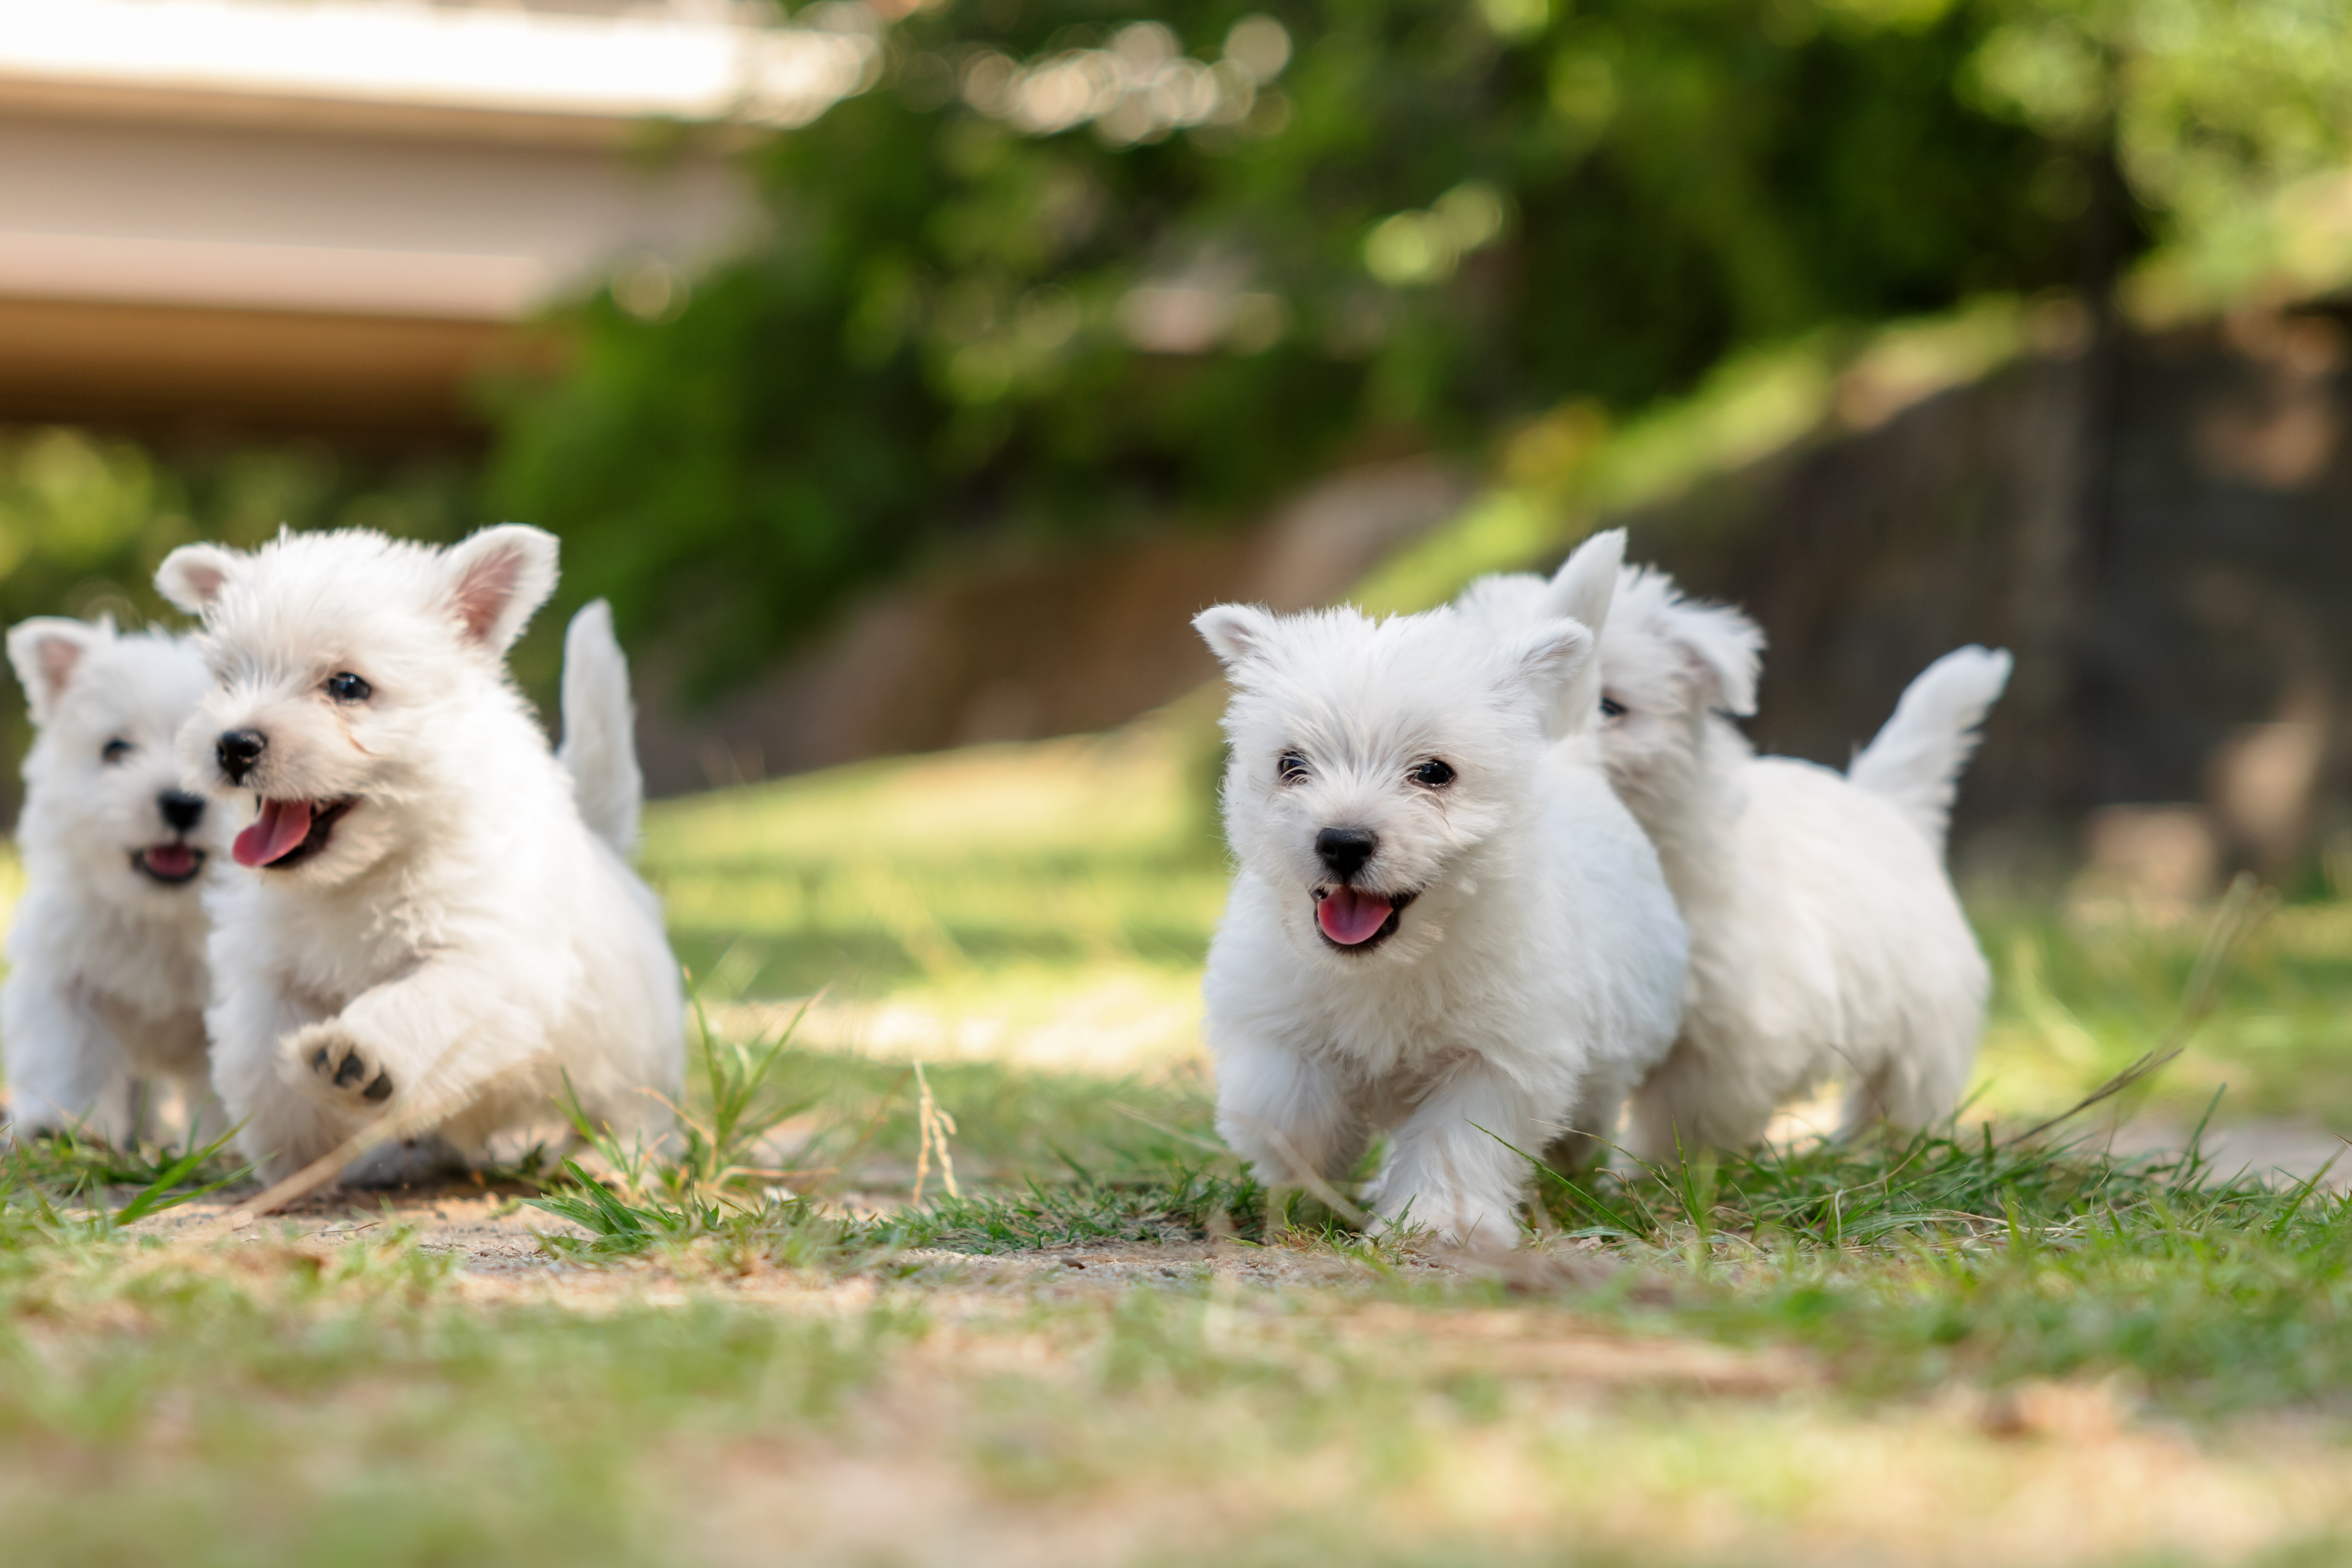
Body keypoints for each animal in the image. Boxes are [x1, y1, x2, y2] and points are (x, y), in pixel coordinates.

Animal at [4, 620, 222, 1147]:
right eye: (116, 749)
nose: (181, 801)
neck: (163, 915)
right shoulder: (66, 981)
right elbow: (71, 1057)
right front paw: (66, 1125)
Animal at [156, 524, 682, 1175]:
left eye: (348, 686)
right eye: (228, 679)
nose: (233, 744)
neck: (358, 876)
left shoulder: (483, 958)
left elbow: (418, 1001)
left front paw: (355, 1057)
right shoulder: (268, 967)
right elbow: (259, 1048)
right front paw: (295, 1149)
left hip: (633, 1054)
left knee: (638, 1111)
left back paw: (614, 1159)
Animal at [1195, 594, 1693, 1260]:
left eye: (1434, 773)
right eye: (1291, 764)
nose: (1342, 841)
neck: (1396, 960)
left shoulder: (1496, 1056)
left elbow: (1456, 1142)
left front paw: (1437, 1223)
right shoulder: (1271, 1010)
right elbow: (1287, 1105)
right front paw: (1317, 1158)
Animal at [1468, 533, 2004, 1161]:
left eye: (1611, 705)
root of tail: (1889, 805)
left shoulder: (1731, 1034)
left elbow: (1685, 1116)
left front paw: (1657, 1170)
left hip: (1924, 1028)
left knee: (1900, 1097)